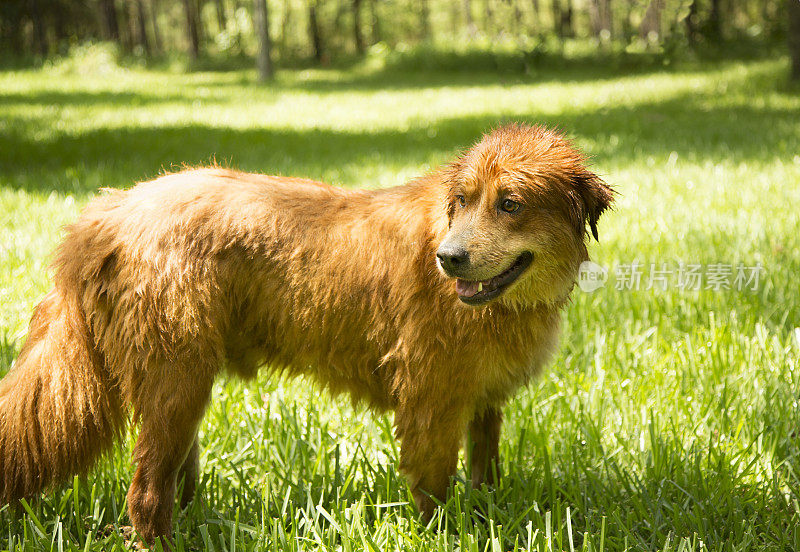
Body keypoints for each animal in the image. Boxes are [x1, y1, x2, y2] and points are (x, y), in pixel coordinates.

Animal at [0, 124, 612, 544]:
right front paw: (449, 537)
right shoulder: (430, 405)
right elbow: (434, 494)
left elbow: (486, 473)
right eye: (462, 201)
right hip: (179, 382)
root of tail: (106, 214)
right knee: (146, 495)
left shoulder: (484, 401)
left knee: (168, 481)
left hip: (178, 393)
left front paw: (488, 515)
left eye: (510, 204)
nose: (449, 258)